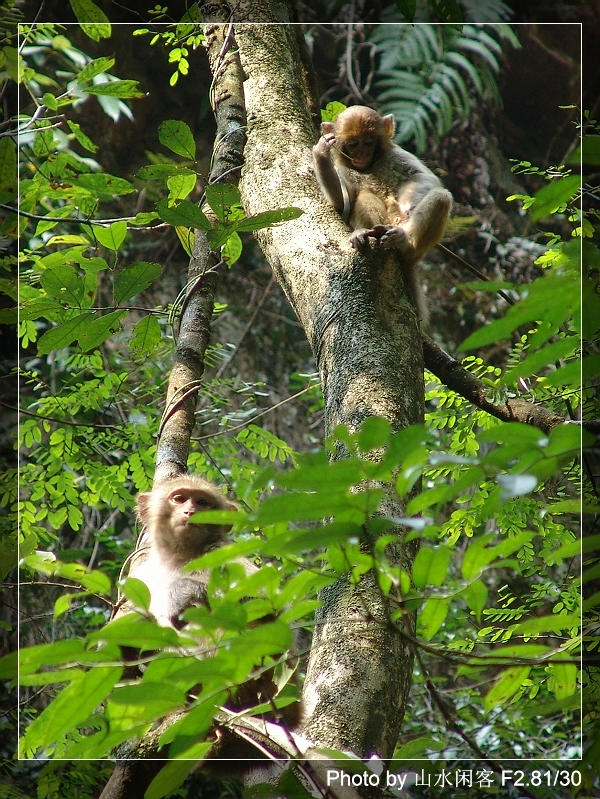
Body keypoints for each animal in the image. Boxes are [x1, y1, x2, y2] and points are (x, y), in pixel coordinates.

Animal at [312, 105, 452, 324]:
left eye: (369, 142)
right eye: (353, 144)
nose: (362, 153)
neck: (370, 166)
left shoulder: (398, 155)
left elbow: (426, 178)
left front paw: (407, 205)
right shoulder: (343, 169)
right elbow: (341, 204)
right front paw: (321, 154)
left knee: (440, 197)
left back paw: (403, 241)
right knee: (364, 197)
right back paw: (367, 233)